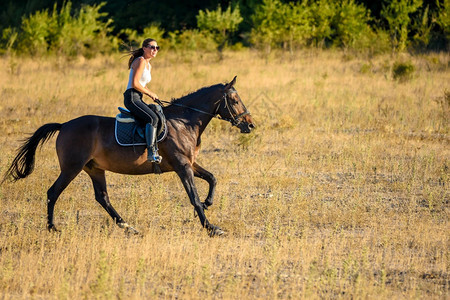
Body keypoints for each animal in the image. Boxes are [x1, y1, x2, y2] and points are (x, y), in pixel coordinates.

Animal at [3, 76, 255, 236]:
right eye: (234, 100)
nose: (250, 125)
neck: (183, 122)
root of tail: (64, 125)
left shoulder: (189, 163)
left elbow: (212, 178)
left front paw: (208, 203)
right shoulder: (182, 165)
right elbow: (192, 195)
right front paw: (211, 227)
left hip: (94, 168)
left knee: (102, 197)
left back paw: (128, 227)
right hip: (71, 168)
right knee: (53, 193)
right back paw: (52, 228)